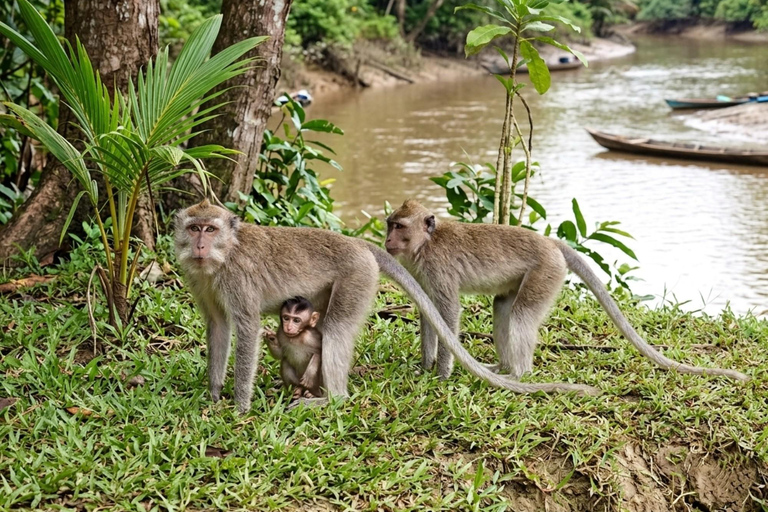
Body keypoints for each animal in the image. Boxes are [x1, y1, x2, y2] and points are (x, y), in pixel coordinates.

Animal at [174, 200, 597, 414]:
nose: (199, 245)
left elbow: (245, 330)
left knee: (336, 330)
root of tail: (359, 244)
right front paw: (214, 394)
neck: (223, 257)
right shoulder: (201, 281)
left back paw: (332, 399)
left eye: (210, 229)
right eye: (194, 228)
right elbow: (218, 327)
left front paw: (239, 408)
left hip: (356, 277)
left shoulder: (237, 280)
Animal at [384, 199, 749, 383]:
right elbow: (428, 313)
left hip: (546, 272)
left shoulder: (439, 269)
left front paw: (441, 374)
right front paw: (425, 365)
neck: (425, 245)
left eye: (398, 226)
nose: (386, 240)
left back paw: (518, 375)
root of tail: (551, 243)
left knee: (521, 315)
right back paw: (503, 368)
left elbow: (447, 313)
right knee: (503, 307)